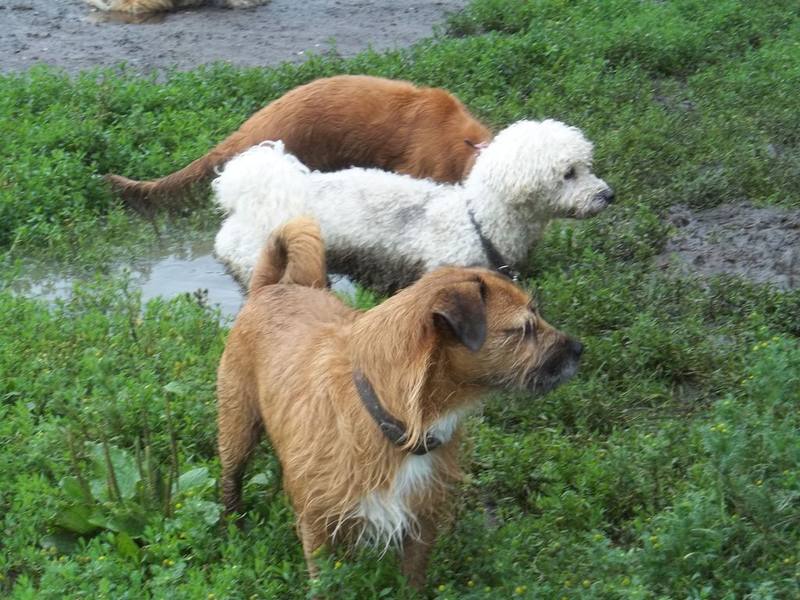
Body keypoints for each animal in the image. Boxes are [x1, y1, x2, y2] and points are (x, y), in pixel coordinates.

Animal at [216, 216, 584, 590]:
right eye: (523, 329)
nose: (579, 349)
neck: (397, 416)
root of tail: (269, 288)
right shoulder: (319, 527)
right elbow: (326, 584)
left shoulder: (420, 521)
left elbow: (414, 580)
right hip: (237, 428)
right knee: (231, 479)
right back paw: (235, 528)